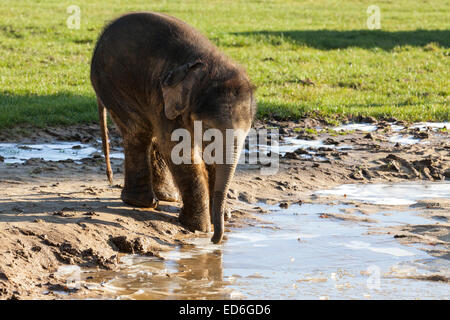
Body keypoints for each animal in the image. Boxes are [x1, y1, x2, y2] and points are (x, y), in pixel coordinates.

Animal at [89, 12, 255, 242]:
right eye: (208, 129)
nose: (215, 241)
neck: (207, 68)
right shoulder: (164, 99)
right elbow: (179, 150)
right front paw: (198, 227)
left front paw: (221, 217)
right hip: (113, 85)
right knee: (139, 132)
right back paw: (141, 202)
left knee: (149, 135)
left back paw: (167, 197)